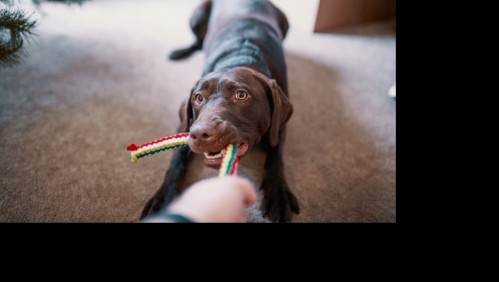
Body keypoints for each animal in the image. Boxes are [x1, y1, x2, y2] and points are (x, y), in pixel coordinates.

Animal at [140, 0, 300, 223]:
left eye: (241, 95)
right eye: (198, 98)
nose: (200, 133)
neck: (240, 57)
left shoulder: (279, 125)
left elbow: (276, 156)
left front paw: (277, 194)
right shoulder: (186, 124)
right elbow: (176, 159)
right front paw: (163, 198)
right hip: (197, 14)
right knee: (198, 42)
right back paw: (180, 51)